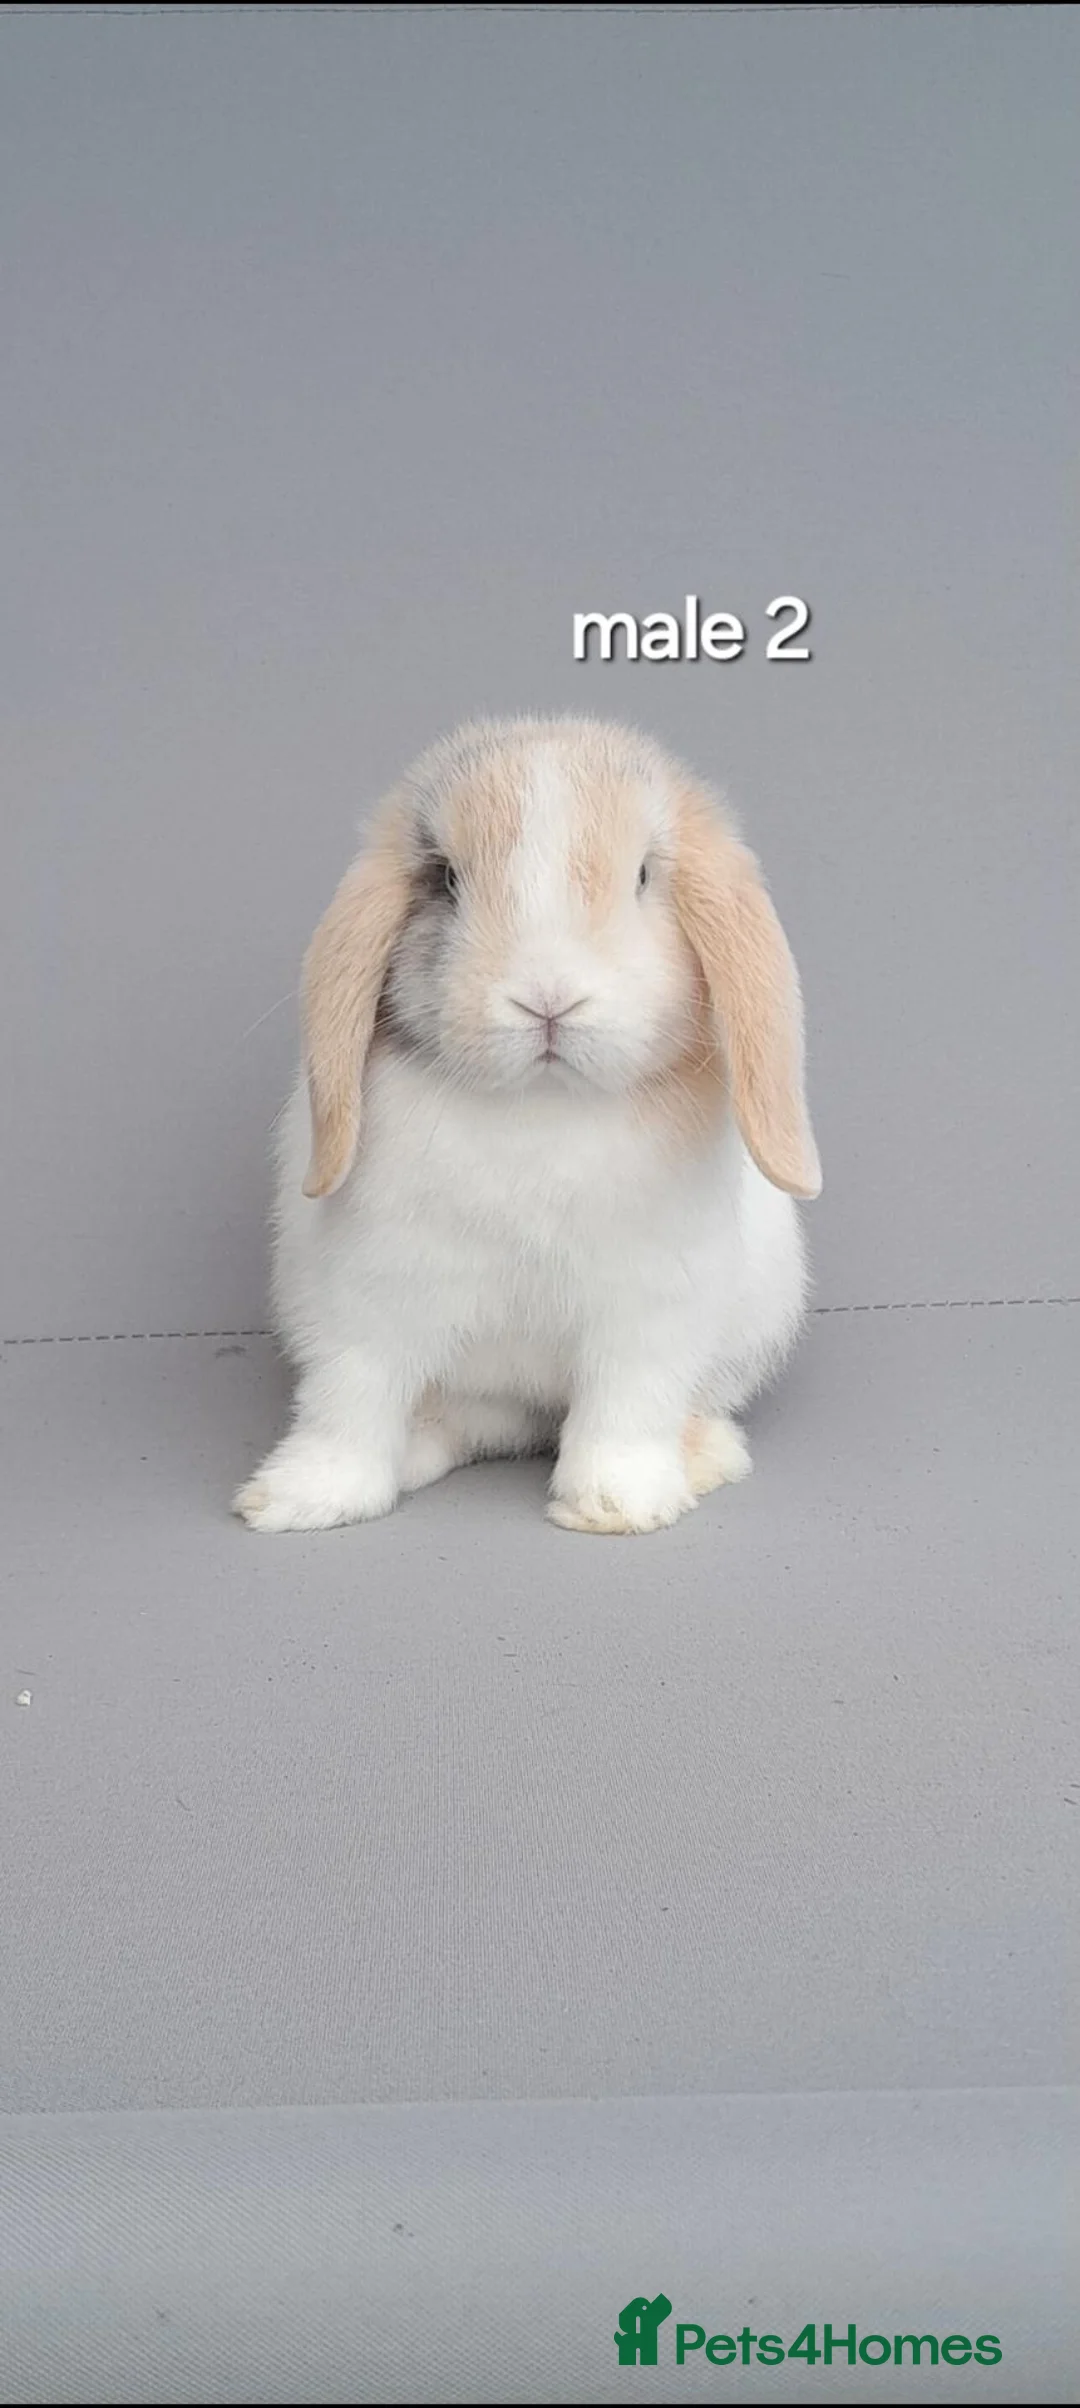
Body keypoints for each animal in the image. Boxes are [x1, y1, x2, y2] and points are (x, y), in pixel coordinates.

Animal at [233, 715, 821, 1537]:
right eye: (445, 879)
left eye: (644, 877)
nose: (548, 998)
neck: (541, 1105)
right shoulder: (365, 1300)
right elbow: (348, 1402)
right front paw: (299, 1500)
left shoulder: (644, 1313)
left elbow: (624, 1408)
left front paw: (613, 1506)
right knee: (474, 1423)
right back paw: (417, 1449)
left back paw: (705, 1455)